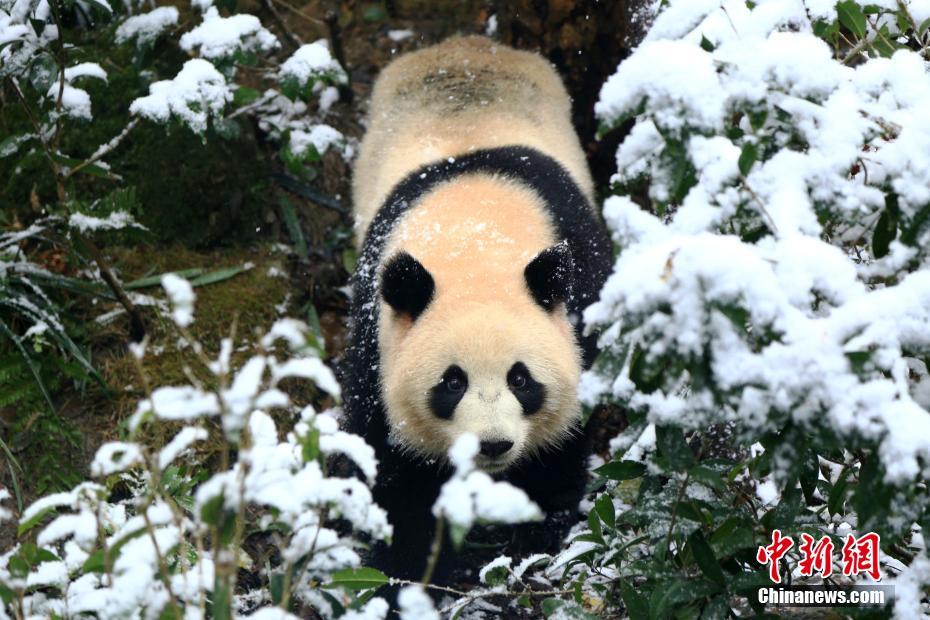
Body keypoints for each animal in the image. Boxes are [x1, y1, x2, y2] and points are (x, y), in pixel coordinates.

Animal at [340, 36, 608, 588]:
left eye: (521, 379)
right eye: (452, 382)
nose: (494, 445)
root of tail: (467, 45)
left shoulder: (580, 289)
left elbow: (565, 437)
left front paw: (535, 533)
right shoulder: (377, 330)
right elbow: (390, 458)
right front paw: (410, 569)